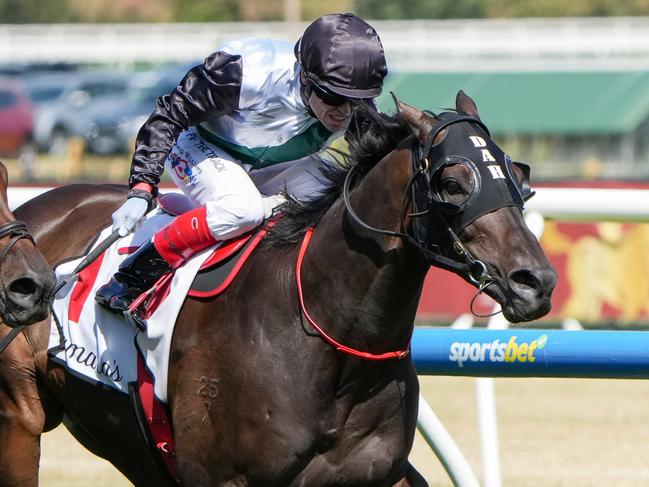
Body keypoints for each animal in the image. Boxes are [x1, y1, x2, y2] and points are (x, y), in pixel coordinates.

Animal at [2, 92, 556, 487]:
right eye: (453, 183)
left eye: (517, 174)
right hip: (21, 417)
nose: (536, 281)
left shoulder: (380, 474)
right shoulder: (222, 478)